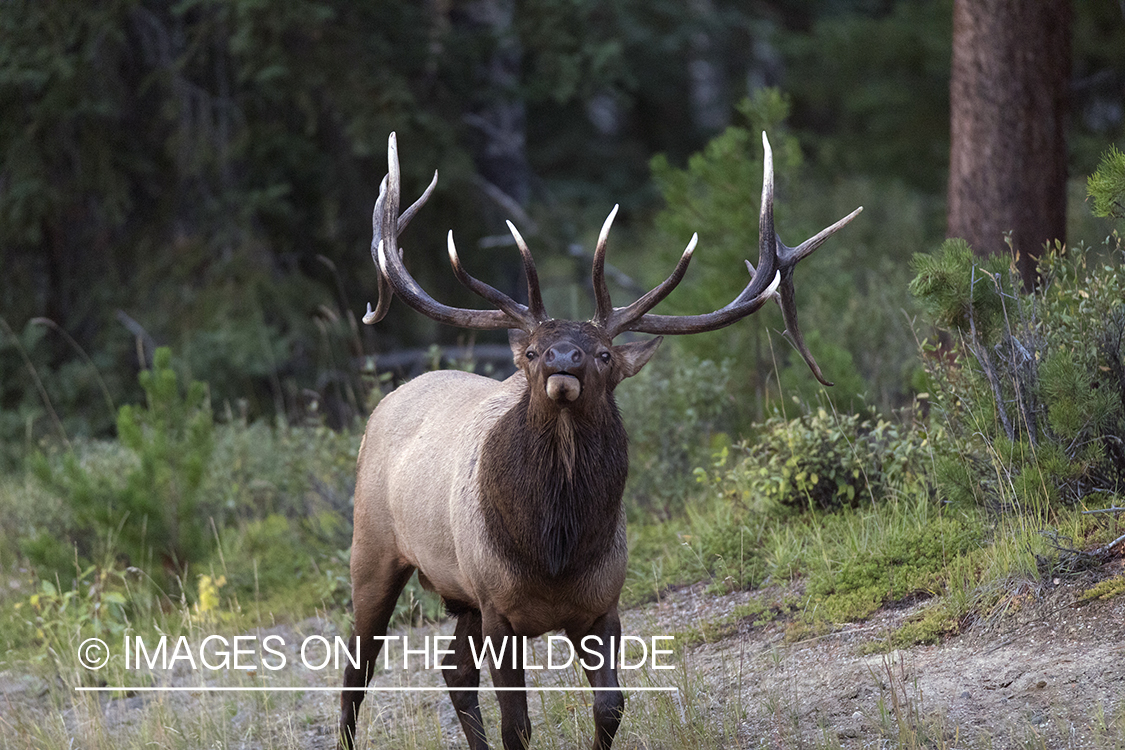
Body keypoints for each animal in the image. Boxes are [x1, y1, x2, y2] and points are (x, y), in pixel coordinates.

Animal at [337, 132, 855, 746]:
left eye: (605, 354)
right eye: (534, 351)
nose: (564, 358)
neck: (555, 552)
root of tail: (388, 401)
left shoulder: (602, 605)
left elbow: (610, 706)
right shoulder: (498, 607)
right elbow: (518, 725)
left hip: (457, 594)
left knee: (452, 672)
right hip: (374, 548)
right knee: (357, 667)